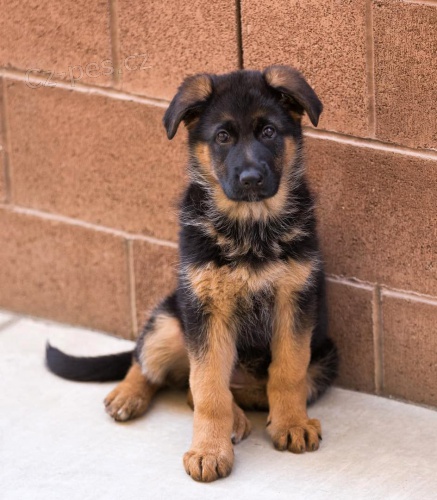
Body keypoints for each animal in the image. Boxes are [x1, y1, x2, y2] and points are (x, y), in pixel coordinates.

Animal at [48, 65, 340, 480]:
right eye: (222, 136)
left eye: (269, 132)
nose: (251, 179)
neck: (250, 227)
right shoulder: (206, 310)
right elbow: (207, 388)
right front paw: (209, 450)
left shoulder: (294, 304)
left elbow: (288, 372)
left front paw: (292, 423)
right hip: (173, 320)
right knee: (152, 363)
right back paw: (130, 395)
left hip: (326, 358)